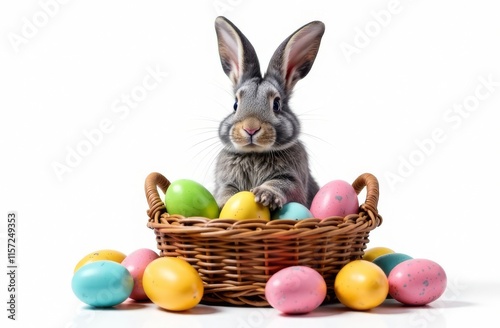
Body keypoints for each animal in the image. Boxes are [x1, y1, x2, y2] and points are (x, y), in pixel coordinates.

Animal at [212, 16, 324, 210]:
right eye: (235, 104)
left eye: (277, 104)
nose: (251, 128)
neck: (255, 153)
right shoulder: (223, 182)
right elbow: (225, 190)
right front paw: (226, 203)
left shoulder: (293, 180)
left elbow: (281, 184)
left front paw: (265, 196)